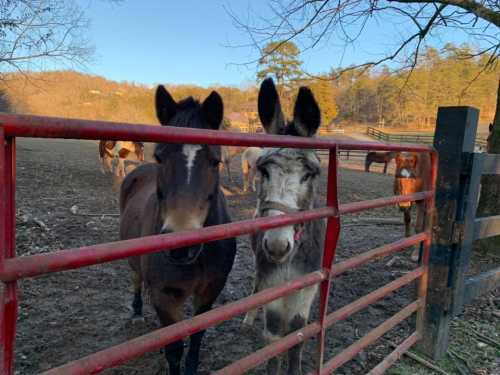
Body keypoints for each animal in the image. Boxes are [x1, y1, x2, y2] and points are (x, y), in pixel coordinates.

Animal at [121, 86, 238, 375]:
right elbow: (174, 347)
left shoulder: (210, 290)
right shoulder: (165, 296)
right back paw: (137, 312)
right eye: (160, 156)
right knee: (136, 279)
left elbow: (196, 336)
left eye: (215, 161)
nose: (182, 245)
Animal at [242, 78, 324, 374]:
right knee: (257, 285)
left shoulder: (308, 287)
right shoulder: (273, 284)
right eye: (263, 171)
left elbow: (297, 334)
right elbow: (274, 339)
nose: (277, 246)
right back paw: (248, 317)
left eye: (309, 174)